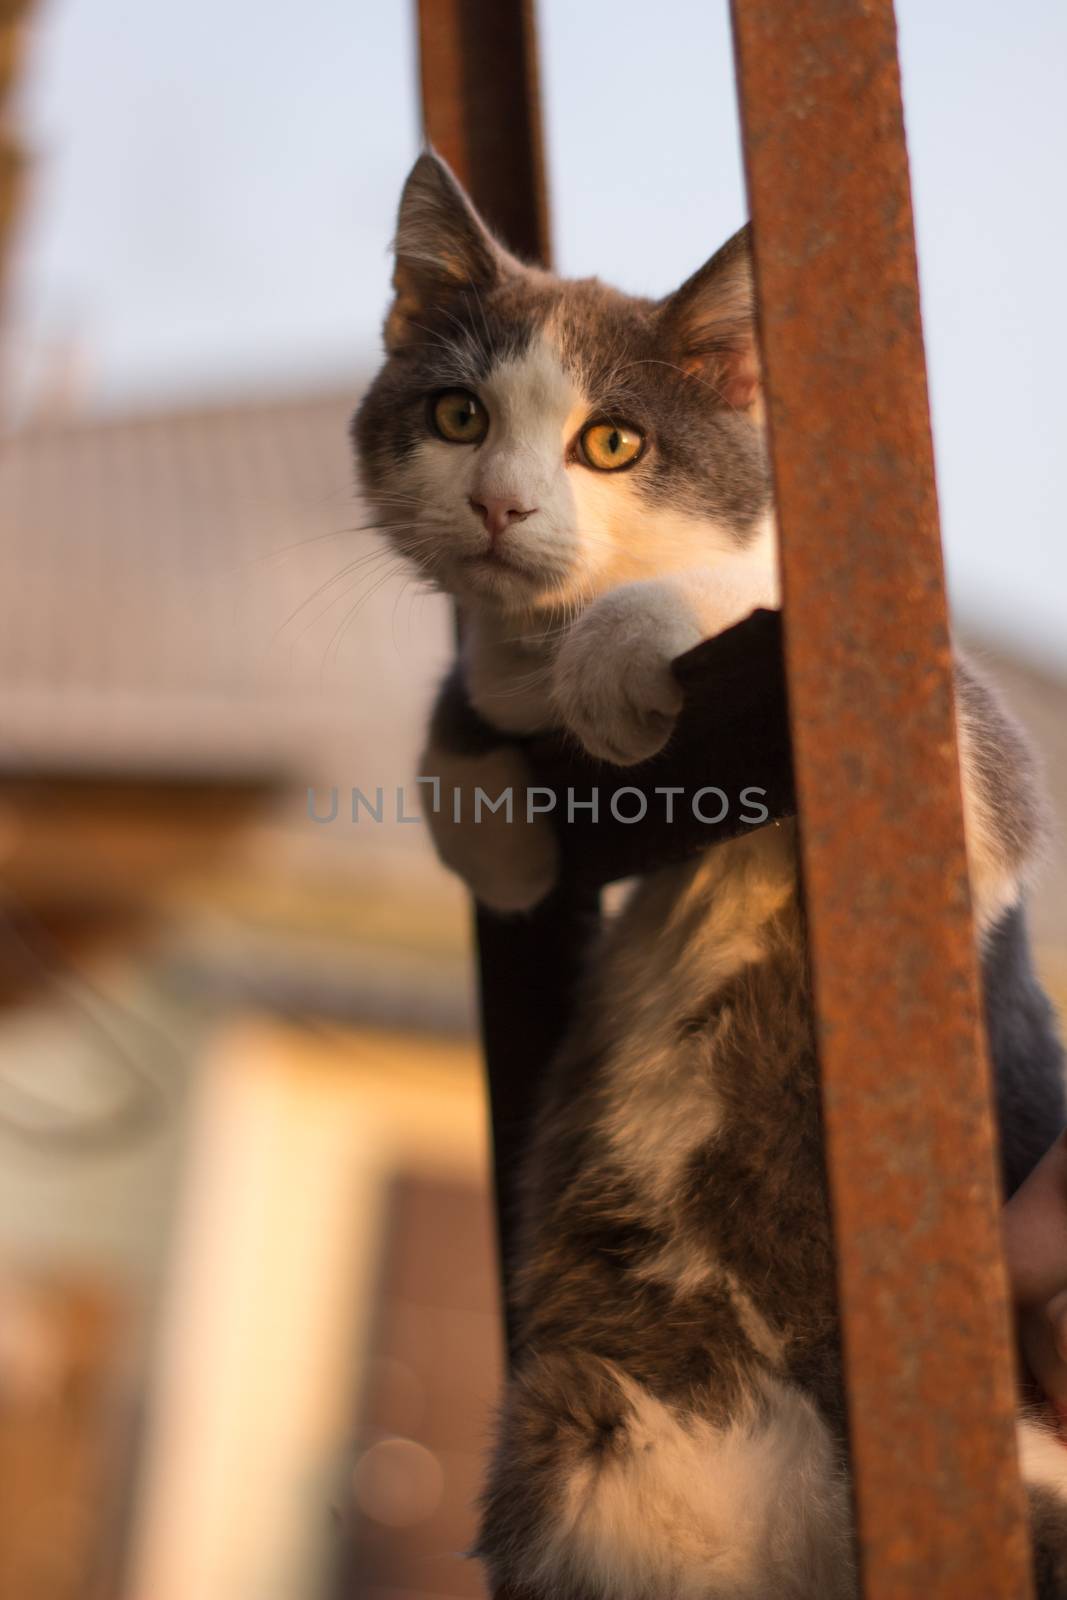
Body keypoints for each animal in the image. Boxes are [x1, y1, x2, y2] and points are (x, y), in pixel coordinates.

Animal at [356, 152, 1067, 1600]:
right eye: (456, 415)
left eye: (611, 443)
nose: (497, 505)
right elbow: (465, 728)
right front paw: (501, 829)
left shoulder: (958, 762)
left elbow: (708, 612)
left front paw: (614, 659)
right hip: (590, 1424)